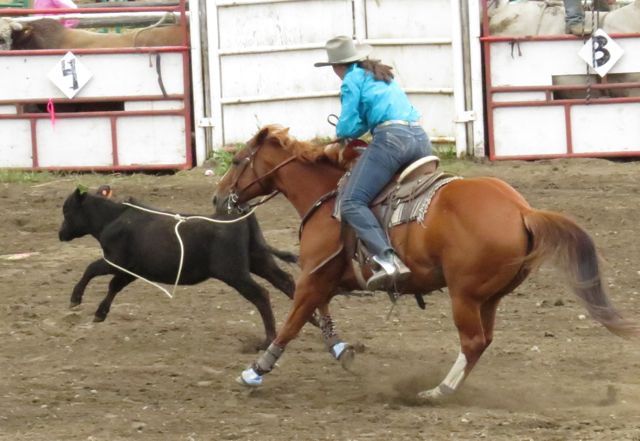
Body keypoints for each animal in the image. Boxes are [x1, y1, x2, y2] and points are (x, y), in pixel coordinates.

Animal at [58, 186, 298, 348]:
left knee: (261, 295)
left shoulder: (114, 261)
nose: (60, 234)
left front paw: (75, 299)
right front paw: (100, 313)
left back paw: (268, 339)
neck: (112, 219)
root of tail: (241, 214)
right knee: (286, 282)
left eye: (67, 211)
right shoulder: (132, 271)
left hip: (235, 273)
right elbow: (114, 287)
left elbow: (91, 269)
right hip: (259, 260)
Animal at [214, 124, 636, 398]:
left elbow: (292, 322)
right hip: (489, 297)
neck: (327, 195)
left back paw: (438, 391)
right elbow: (321, 313)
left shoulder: (314, 276)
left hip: (464, 294)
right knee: (483, 341)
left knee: (472, 341)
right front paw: (341, 350)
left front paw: (255, 372)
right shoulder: (326, 279)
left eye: (237, 161)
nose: (218, 199)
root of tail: (522, 210)